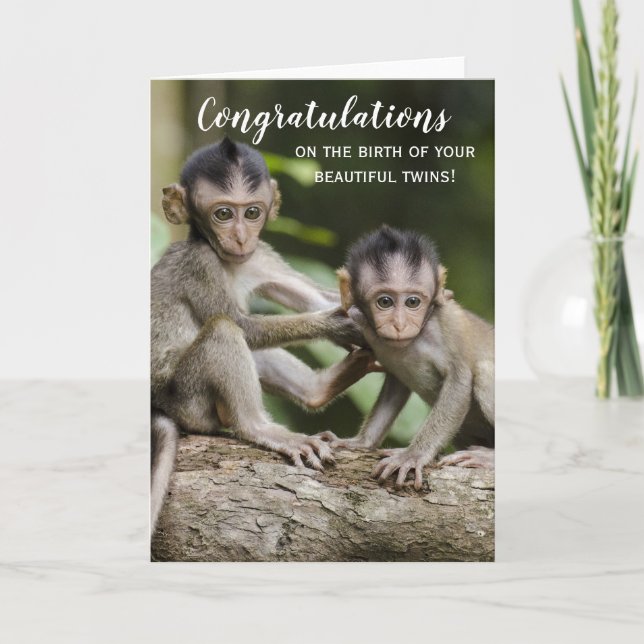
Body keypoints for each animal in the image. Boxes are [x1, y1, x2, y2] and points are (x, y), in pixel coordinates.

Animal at [151, 138, 373, 532]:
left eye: (252, 213)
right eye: (223, 214)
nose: (240, 237)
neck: (230, 262)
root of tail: (157, 405)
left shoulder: (260, 256)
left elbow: (314, 297)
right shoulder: (200, 264)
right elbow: (243, 325)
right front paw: (338, 324)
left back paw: (319, 389)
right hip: (187, 399)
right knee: (225, 330)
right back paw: (258, 427)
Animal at [318, 225, 494, 490]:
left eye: (413, 302)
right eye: (385, 302)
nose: (399, 325)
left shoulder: (448, 324)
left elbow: (460, 381)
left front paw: (412, 455)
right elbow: (395, 385)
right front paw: (360, 442)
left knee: (483, 372)